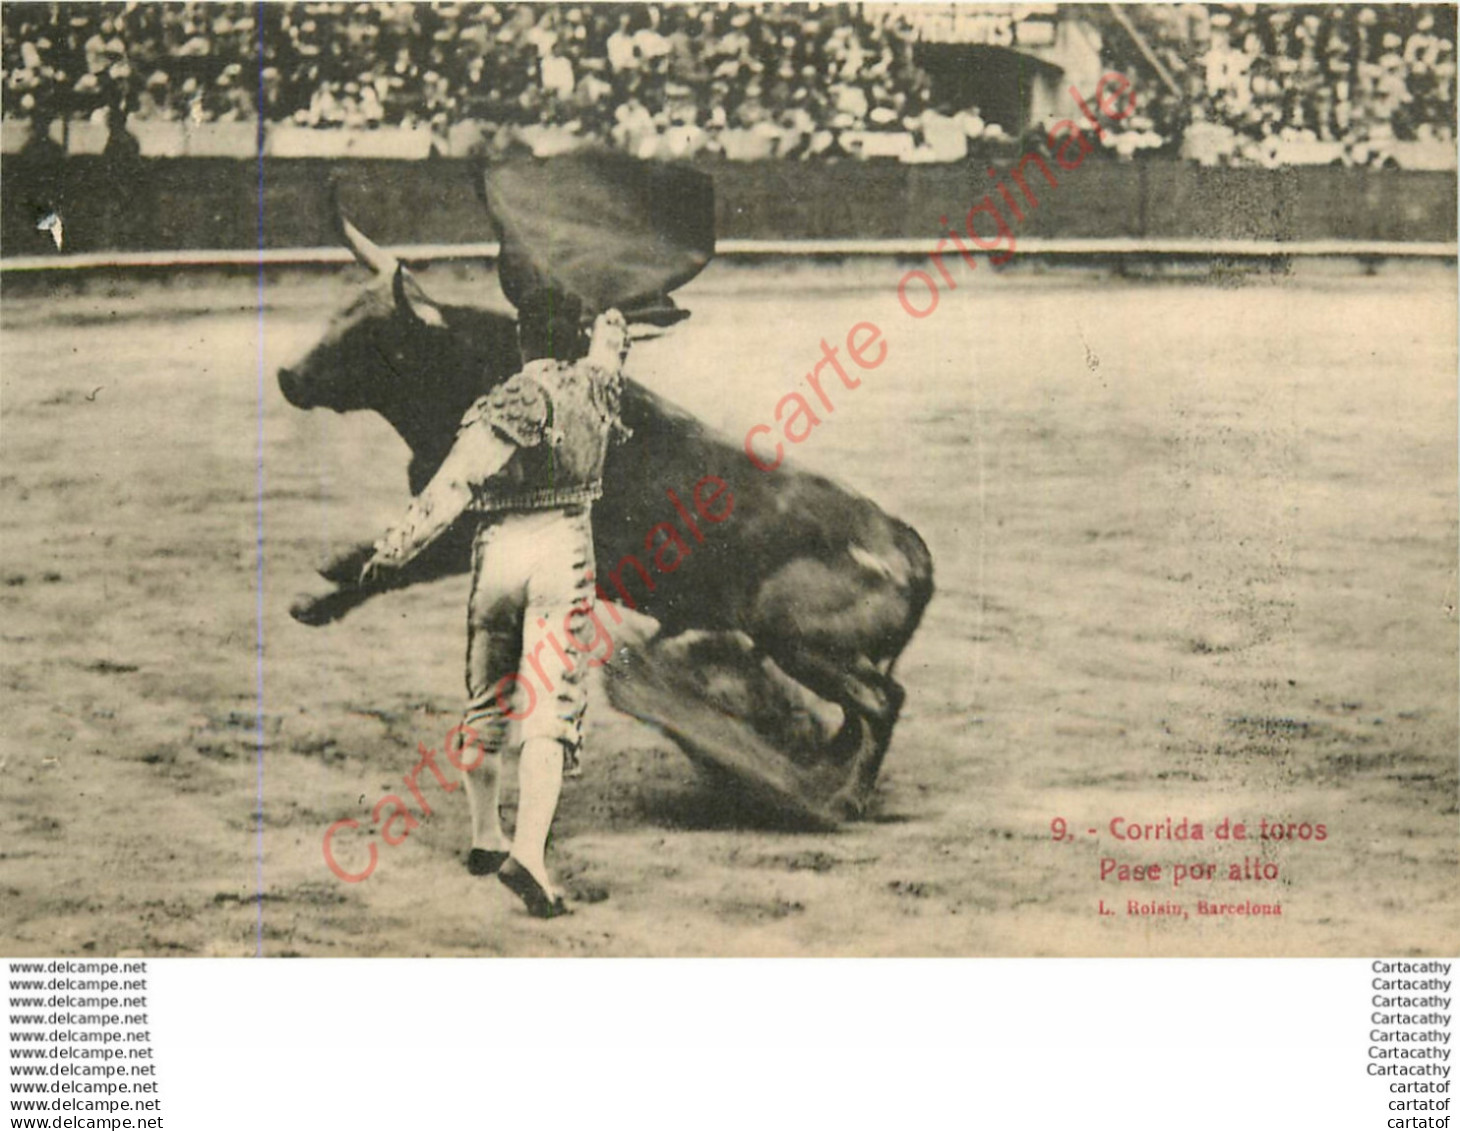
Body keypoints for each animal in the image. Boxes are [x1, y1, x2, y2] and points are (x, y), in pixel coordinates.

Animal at [278, 223, 928, 823]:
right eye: (337, 313)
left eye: (369, 335)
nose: (288, 376)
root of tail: (905, 543)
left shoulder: (469, 528)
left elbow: (398, 565)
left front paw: (317, 598)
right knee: (859, 712)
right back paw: (818, 770)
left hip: (796, 639)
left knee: (883, 700)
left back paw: (843, 798)